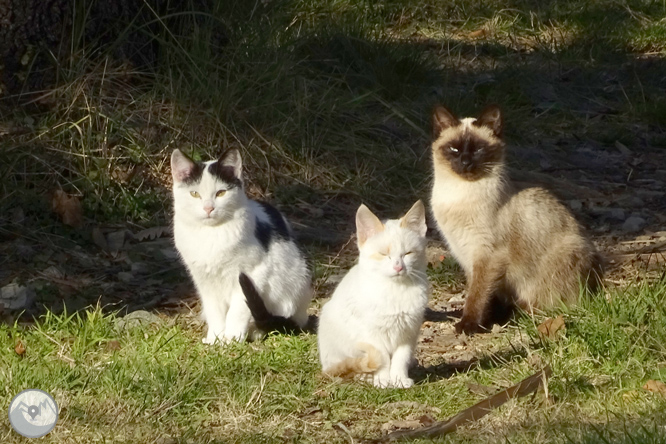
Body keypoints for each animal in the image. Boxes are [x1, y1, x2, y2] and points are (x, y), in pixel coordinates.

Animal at [169, 149, 308, 344]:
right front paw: (215, 338)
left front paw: (232, 337)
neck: (211, 234)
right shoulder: (204, 281)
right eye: (194, 194)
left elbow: (238, 310)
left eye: (220, 193)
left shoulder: (254, 272)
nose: (208, 208)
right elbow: (214, 311)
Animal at [318, 201, 430, 388]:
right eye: (384, 254)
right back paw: (364, 376)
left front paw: (399, 379)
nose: (398, 267)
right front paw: (382, 380)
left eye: (408, 253)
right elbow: (382, 358)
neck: (395, 290)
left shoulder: (409, 332)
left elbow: (401, 358)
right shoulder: (372, 334)